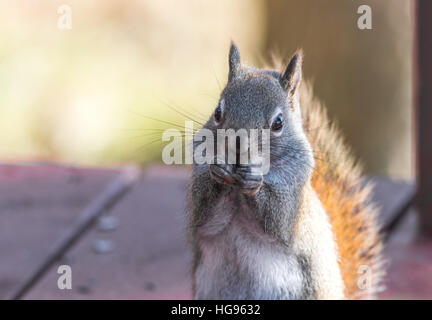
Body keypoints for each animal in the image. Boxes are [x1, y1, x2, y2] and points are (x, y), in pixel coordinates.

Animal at [187, 42, 384, 300]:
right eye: (217, 113)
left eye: (278, 123)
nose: (238, 148)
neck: (237, 192)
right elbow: (205, 219)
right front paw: (219, 171)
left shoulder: (294, 197)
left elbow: (278, 221)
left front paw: (254, 183)